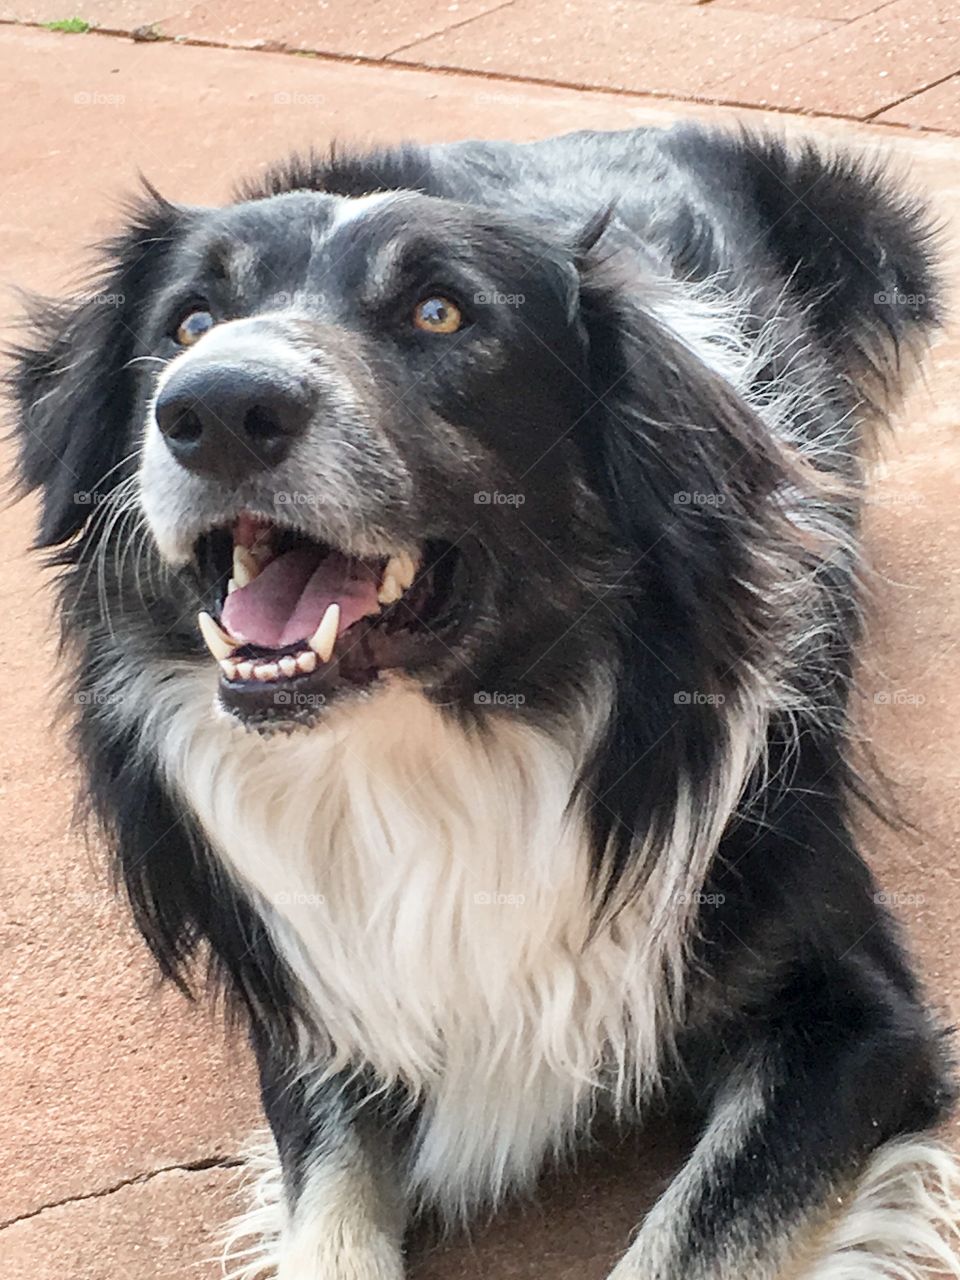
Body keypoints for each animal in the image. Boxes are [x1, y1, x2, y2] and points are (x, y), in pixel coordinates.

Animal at [9, 127, 960, 1280]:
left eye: (441, 313)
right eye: (188, 323)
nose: (216, 407)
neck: (434, 745)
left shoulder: (857, 1018)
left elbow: (693, 1234)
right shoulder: (321, 1002)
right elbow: (328, 1216)